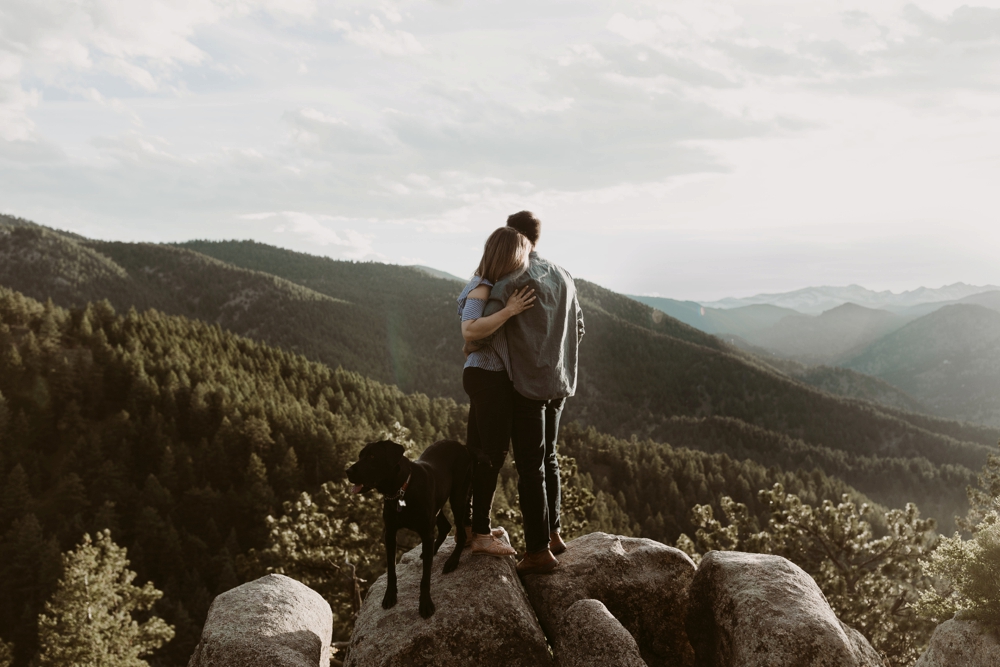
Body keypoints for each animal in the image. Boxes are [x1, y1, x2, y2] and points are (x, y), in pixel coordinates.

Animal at [348, 438, 472, 620]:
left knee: (461, 532)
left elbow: (425, 577)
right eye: (360, 456)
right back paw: (432, 551)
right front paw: (390, 595)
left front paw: (425, 603)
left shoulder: (425, 533)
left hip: (458, 496)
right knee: (445, 527)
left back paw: (452, 561)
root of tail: (460, 445)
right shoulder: (390, 534)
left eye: (372, 456)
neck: (401, 490)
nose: (347, 471)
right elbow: (391, 570)